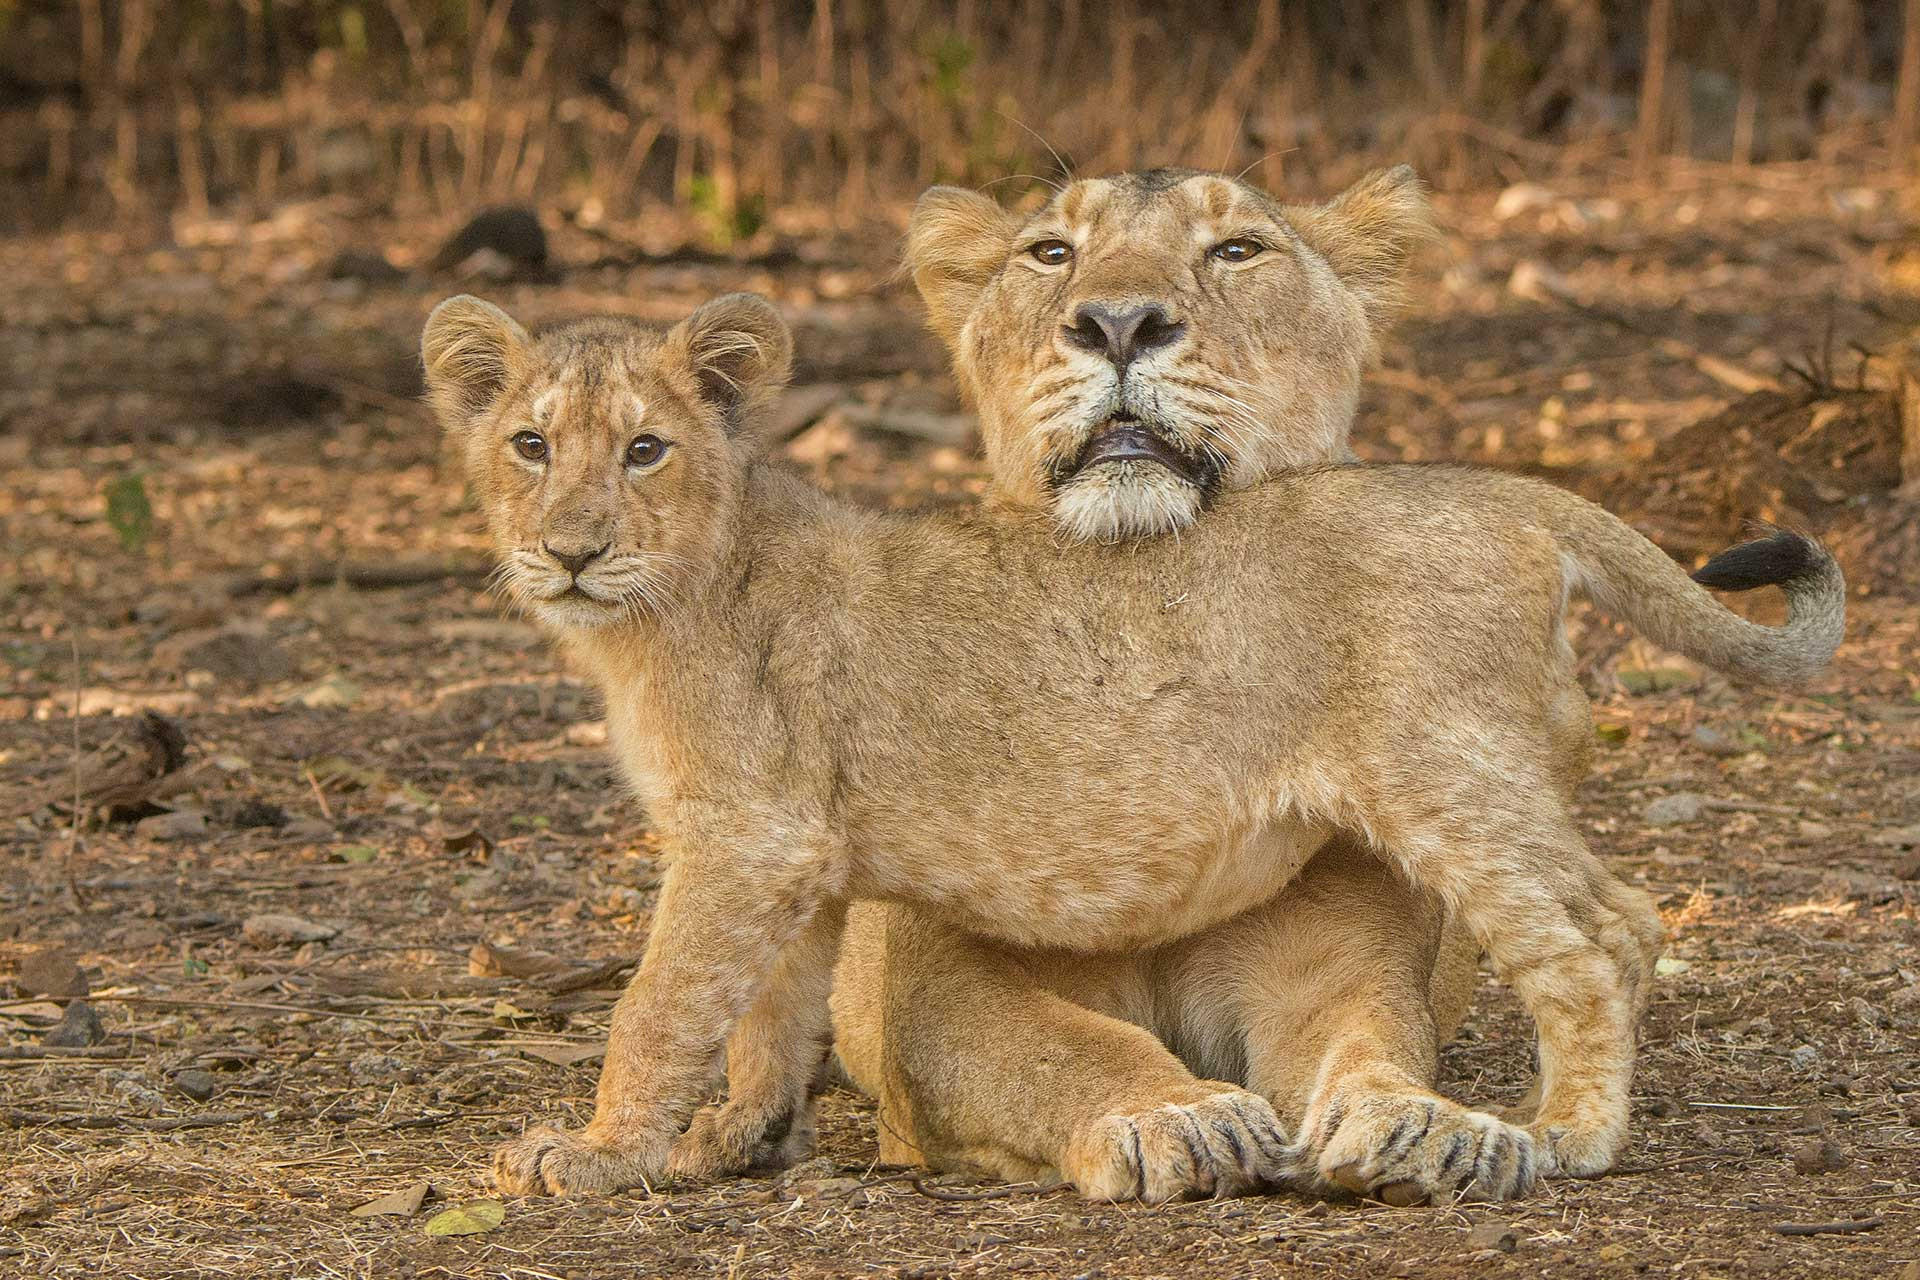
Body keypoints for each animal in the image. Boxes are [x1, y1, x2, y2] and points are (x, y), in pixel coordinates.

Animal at [418, 289, 1844, 1201]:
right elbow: (768, 1012)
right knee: (1633, 908)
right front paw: (731, 1141)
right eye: (529, 444)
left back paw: (1567, 1133)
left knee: (1584, 942)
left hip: (1442, 775)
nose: (570, 549)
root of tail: (1509, 490)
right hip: (1494, 776)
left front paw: (595, 1152)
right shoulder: (797, 852)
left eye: (644, 449)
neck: (662, 607)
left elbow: (660, 1006)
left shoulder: (743, 837)